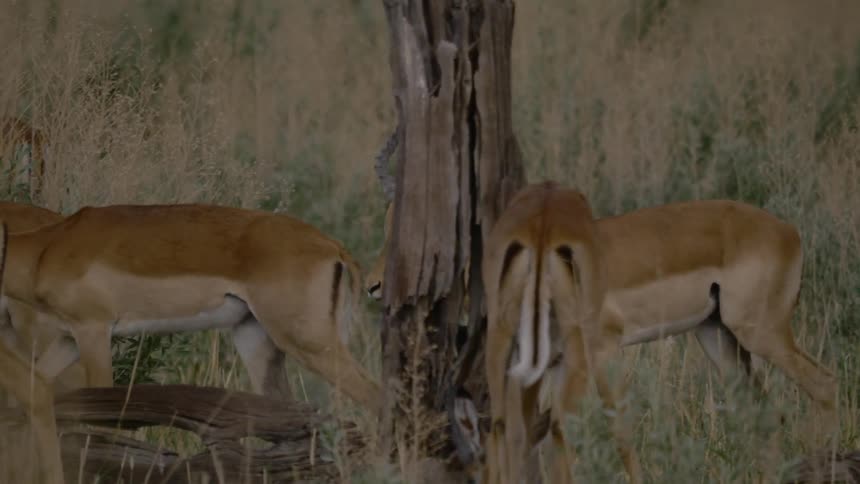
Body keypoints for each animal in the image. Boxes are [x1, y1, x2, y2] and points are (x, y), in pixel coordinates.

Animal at [2, 203, 383, 413]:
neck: (46, 250)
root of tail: (332, 246)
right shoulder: (68, 338)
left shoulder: (93, 331)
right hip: (256, 340)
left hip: (310, 344)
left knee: (377, 396)